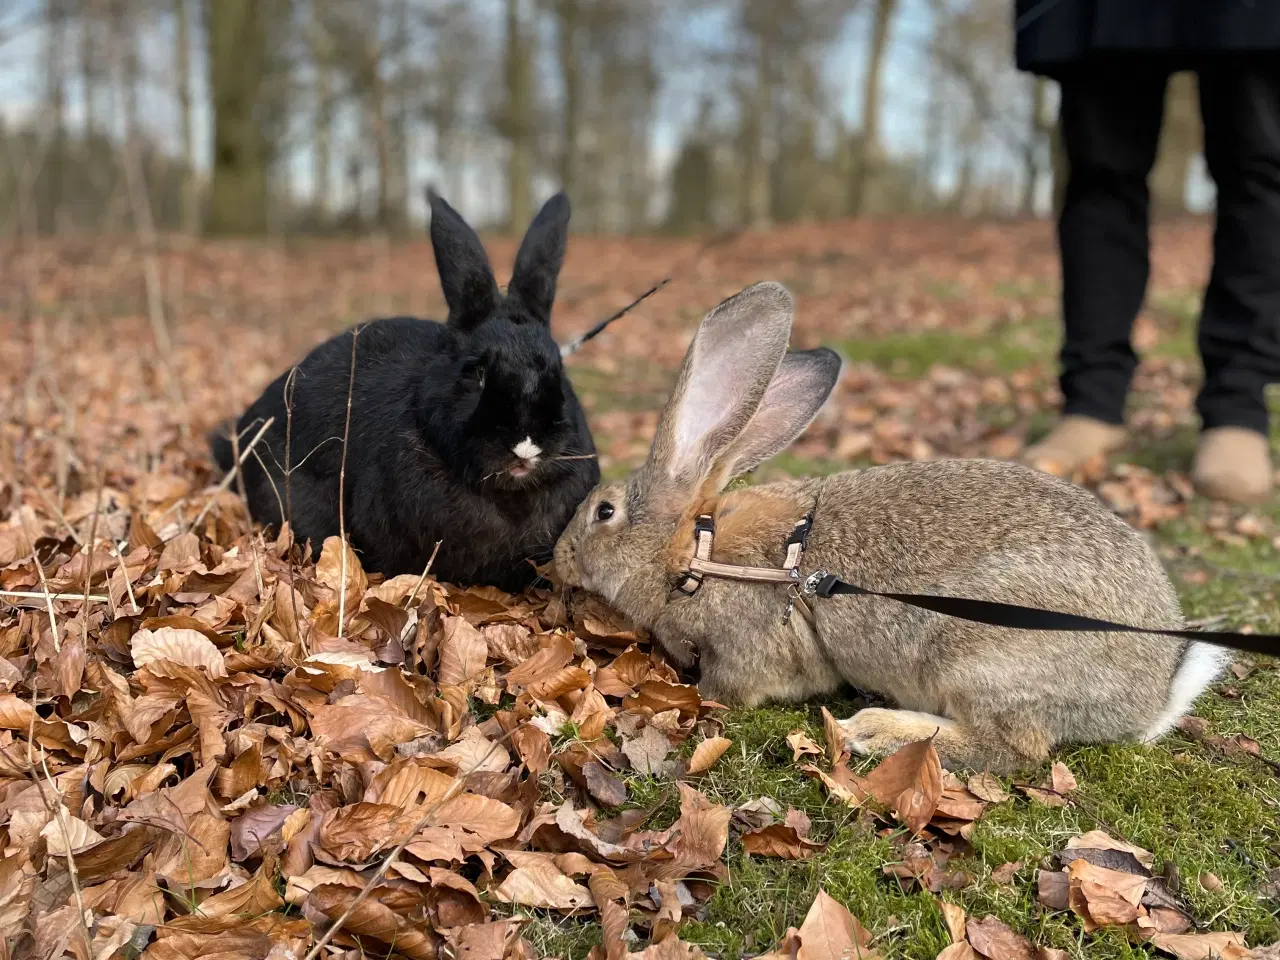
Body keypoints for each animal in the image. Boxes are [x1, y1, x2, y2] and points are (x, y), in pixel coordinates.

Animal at [552, 284, 1228, 773]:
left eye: (603, 512)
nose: (555, 556)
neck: (695, 550)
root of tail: (1148, 698)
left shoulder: (745, 648)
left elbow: (734, 683)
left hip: (979, 654)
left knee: (1010, 749)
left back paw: (873, 732)